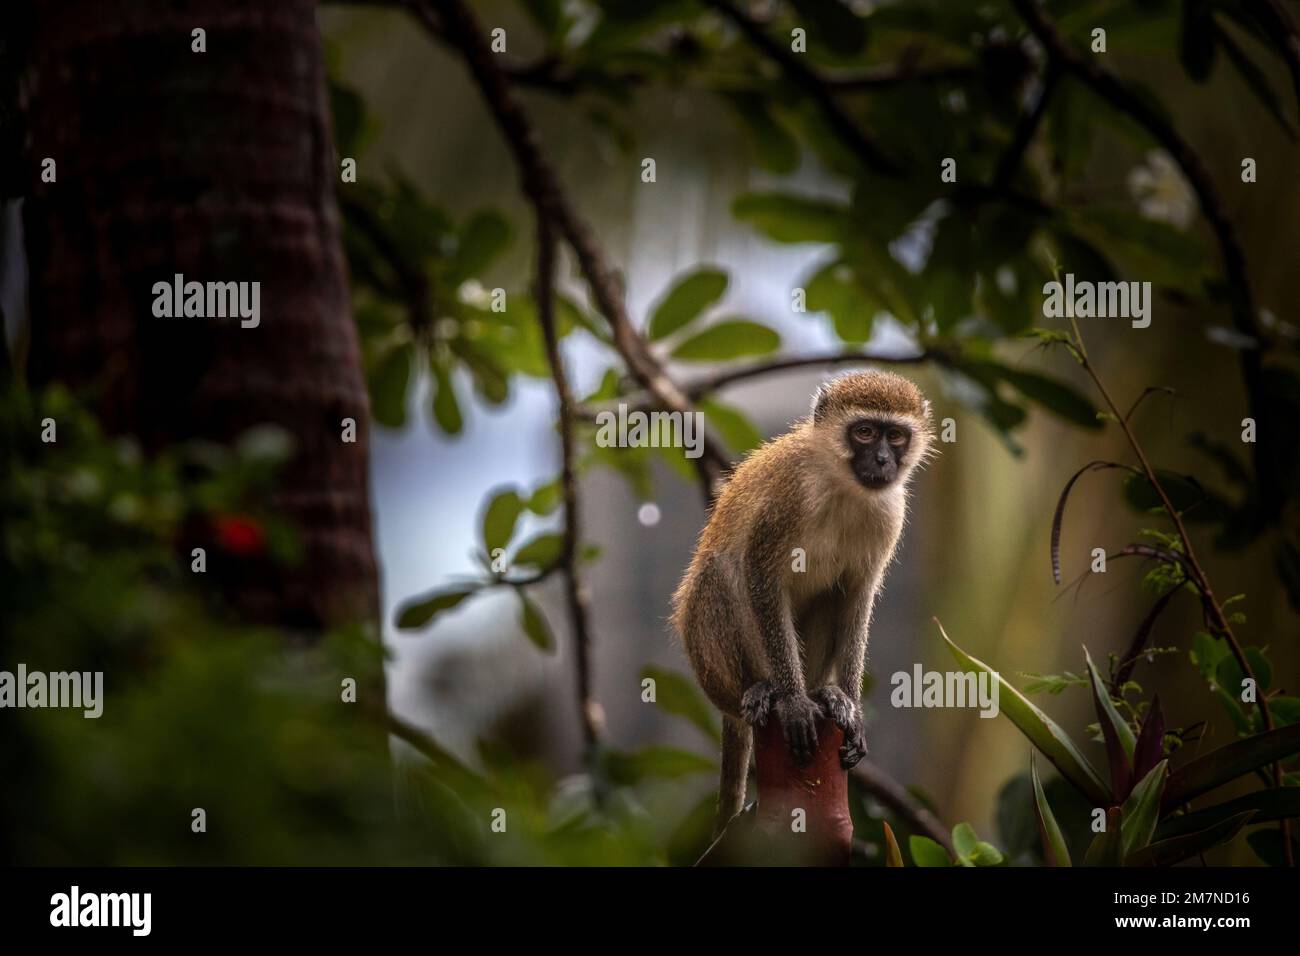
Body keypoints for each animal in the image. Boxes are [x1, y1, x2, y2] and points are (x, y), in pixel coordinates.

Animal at [670, 369, 935, 832]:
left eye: (896, 436)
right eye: (865, 433)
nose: (883, 461)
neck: (842, 484)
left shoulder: (889, 516)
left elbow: (857, 599)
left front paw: (851, 708)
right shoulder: (787, 499)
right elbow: (760, 577)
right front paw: (794, 702)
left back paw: (824, 693)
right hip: (718, 669)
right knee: (722, 572)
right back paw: (764, 690)